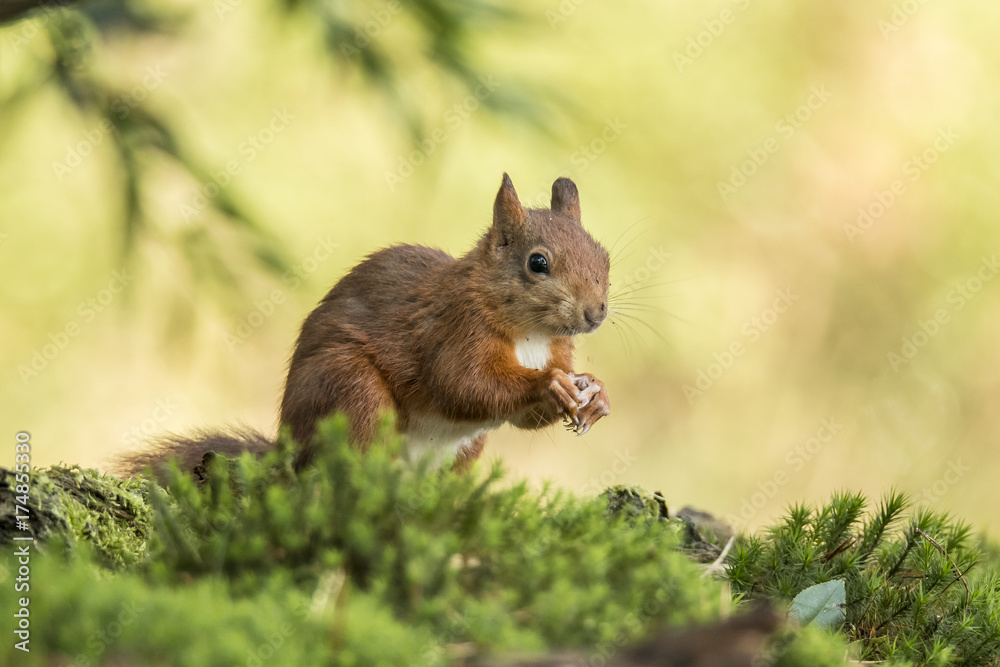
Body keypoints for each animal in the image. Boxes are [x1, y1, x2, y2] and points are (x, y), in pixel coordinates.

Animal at [113, 173, 611, 477]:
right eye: (537, 263)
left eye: (603, 255)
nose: (596, 312)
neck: (532, 334)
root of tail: (289, 451)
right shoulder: (453, 330)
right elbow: (464, 384)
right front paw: (550, 384)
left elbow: (521, 417)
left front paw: (595, 395)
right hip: (351, 388)